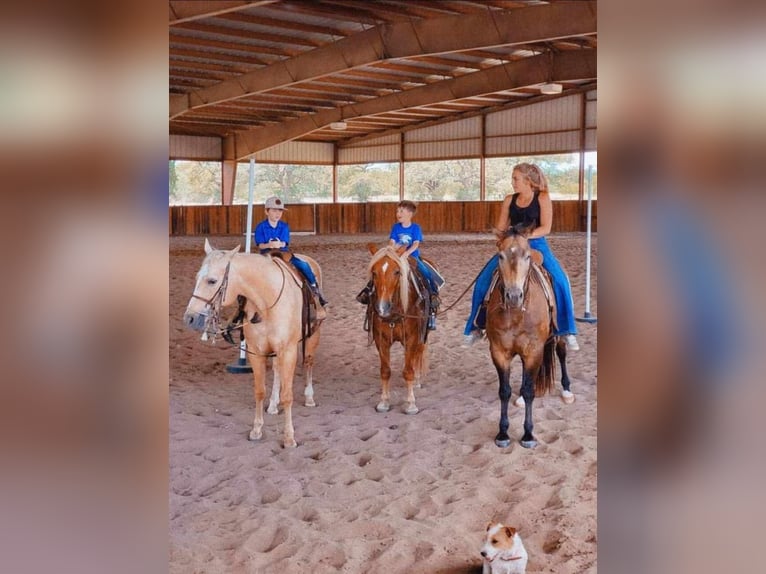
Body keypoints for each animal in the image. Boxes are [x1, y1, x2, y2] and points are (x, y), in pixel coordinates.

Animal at [184, 238, 326, 450]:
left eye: (212, 281)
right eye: (196, 278)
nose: (189, 318)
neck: (267, 301)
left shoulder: (288, 351)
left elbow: (288, 395)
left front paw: (289, 438)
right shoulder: (256, 352)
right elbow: (260, 391)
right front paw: (257, 430)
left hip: (312, 335)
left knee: (308, 362)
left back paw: (309, 397)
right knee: (276, 370)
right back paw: (273, 405)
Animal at [364, 245, 436, 416]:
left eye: (397, 271)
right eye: (374, 272)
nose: (382, 307)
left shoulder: (412, 338)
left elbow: (408, 371)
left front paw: (411, 404)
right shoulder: (381, 340)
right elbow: (385, 371)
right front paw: (384, 402)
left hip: (422, 333)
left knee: (418, 354)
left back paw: (417, 381)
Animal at [488, 225, 572, 450]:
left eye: (527, 256)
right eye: (500, 256)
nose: (513, 296)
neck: (517, 313)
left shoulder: (534, 351)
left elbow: (529, 391)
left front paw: (527, 434)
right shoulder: (499, 351)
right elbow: (504, 391)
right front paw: (503, 433)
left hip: (559, 336)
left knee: (561, 353)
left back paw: (567, 390)